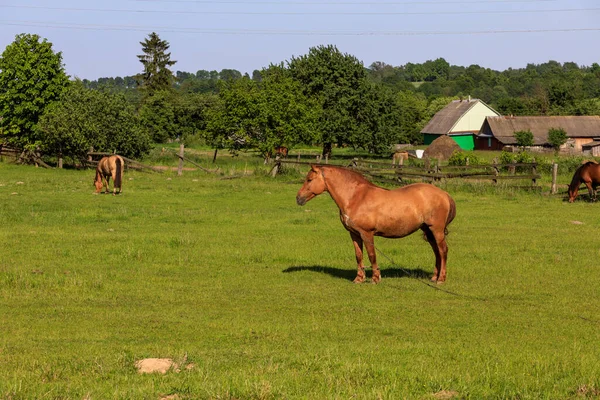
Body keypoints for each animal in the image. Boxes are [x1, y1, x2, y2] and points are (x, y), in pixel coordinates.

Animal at [296, 166, 454, 284]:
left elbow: (372, 255)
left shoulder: (367, 233)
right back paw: (434, 277)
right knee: (436, 252)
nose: (298, 198)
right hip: (428, 230)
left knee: (443, 251)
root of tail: (444, 194)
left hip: (437, 230)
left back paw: (441, 279)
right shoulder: (354, 234)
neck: (356, 197)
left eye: (309, 179)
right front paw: (359, 279)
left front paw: (375, 278)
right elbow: (359, 255)